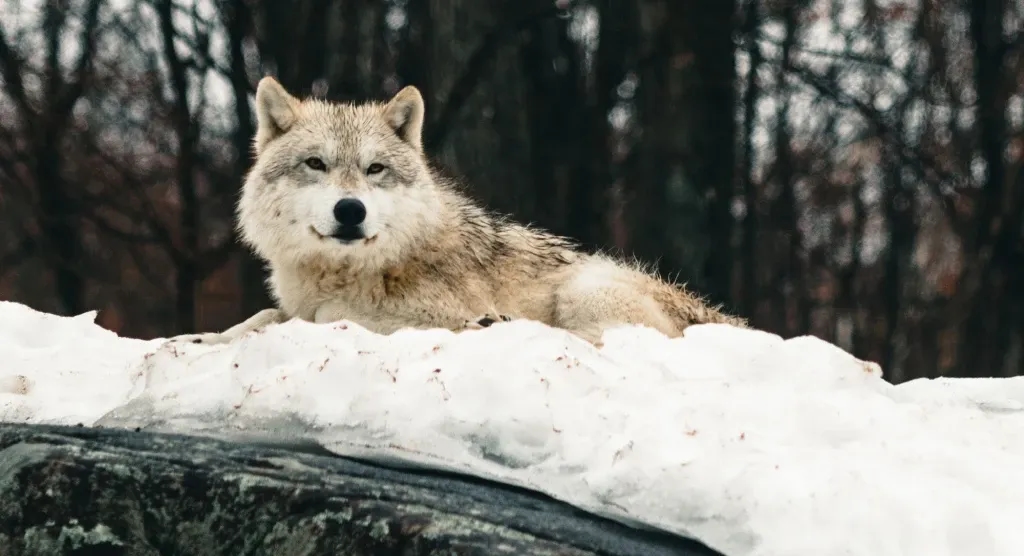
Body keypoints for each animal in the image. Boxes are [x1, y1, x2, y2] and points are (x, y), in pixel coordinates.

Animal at [169, 76, 746, 347]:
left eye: (375, 169)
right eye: (316, 164)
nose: (350, 210)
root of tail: (727, 319)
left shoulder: (420, 312)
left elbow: (329, 316)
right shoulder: (290, 304)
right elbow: (263, 316)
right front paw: (199, 338)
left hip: (585, 287)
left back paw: (495, 324)